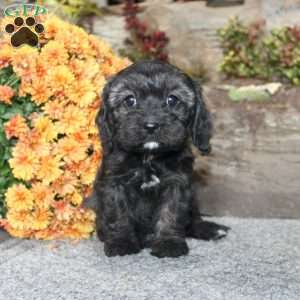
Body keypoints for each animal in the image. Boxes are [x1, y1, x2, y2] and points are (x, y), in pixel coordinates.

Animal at [94, 61, 230, 258]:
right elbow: (118, 213)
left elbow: (171, 212)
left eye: (172, 100)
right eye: (130, 100)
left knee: (194, 219)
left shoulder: (177, 182)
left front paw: (168, 243)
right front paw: (121, 242)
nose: (151, 125)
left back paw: (209, 229)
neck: (149, 157)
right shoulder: (114, 182)